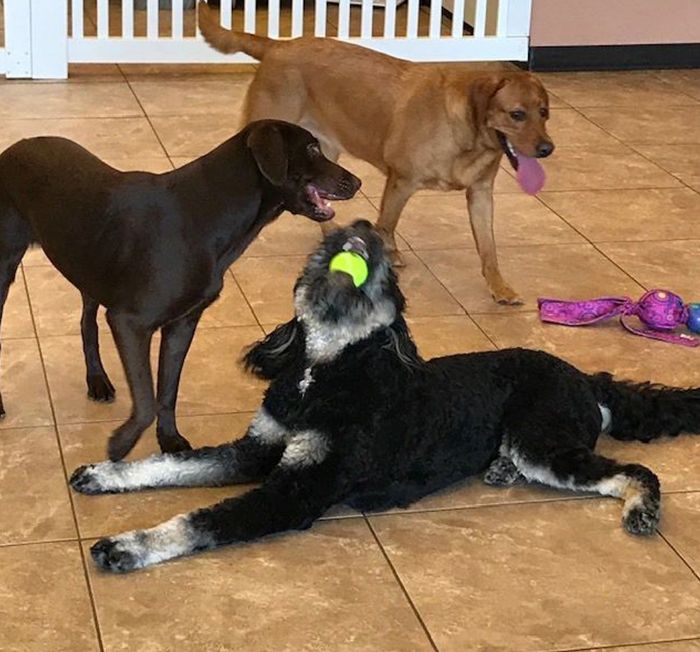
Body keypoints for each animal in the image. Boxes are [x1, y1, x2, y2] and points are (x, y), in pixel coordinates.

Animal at [0, 121, 360, 458]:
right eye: (312, 149)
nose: (358, 182)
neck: (208, 213)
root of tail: (15, 147)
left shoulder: (183, 323)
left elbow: (167, 391)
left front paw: (169, 439)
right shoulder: (130, 323)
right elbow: (146, 400)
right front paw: (120, 444)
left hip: (89, 263)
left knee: (87, 321)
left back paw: (97, 380)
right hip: (6, 270)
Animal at [72, 222, 700, 572]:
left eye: (390, 277)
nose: (360, 229)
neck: (323, 370)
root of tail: (585, 378)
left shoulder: (296, 492)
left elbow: (197, 520)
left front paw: (126, 546)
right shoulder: (258, 449)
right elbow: (171, 463)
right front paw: (106, 474)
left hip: (543, 438)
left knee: (634, 470)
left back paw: (641, 509)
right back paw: (500, 470)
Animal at [197, 1, 552, 304]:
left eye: (544, 112)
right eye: (517, 114)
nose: (548, 148)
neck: (469, 138)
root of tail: (276, 45)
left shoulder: (480, 194)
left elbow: (488, 249)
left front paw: (500, 287)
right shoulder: (401, 182)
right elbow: (387, 225)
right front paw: (389, 256)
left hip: (323, 155)